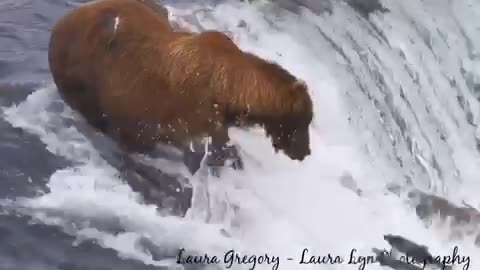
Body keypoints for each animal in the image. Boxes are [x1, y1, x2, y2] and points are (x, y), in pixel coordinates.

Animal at [47, 0, 312, 176]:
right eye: (305, 121)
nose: (306, 152)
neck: (230, 90)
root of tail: (58, 26)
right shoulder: (183, 110)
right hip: (82, 74)